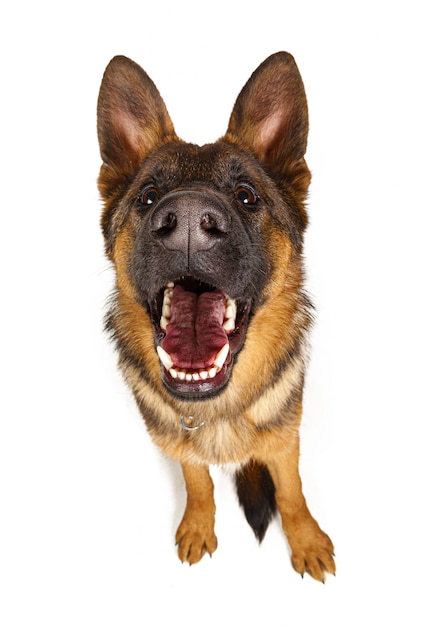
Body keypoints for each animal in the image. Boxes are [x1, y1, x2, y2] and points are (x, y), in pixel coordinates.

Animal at [97, 51, 334, 576]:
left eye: (247, 195)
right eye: (147, 196)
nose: (187, 219)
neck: (217, 407)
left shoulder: (285, 439)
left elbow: (291, 491)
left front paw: (305, 539)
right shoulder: (178, 444)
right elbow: (198, 480)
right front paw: (198, 524)